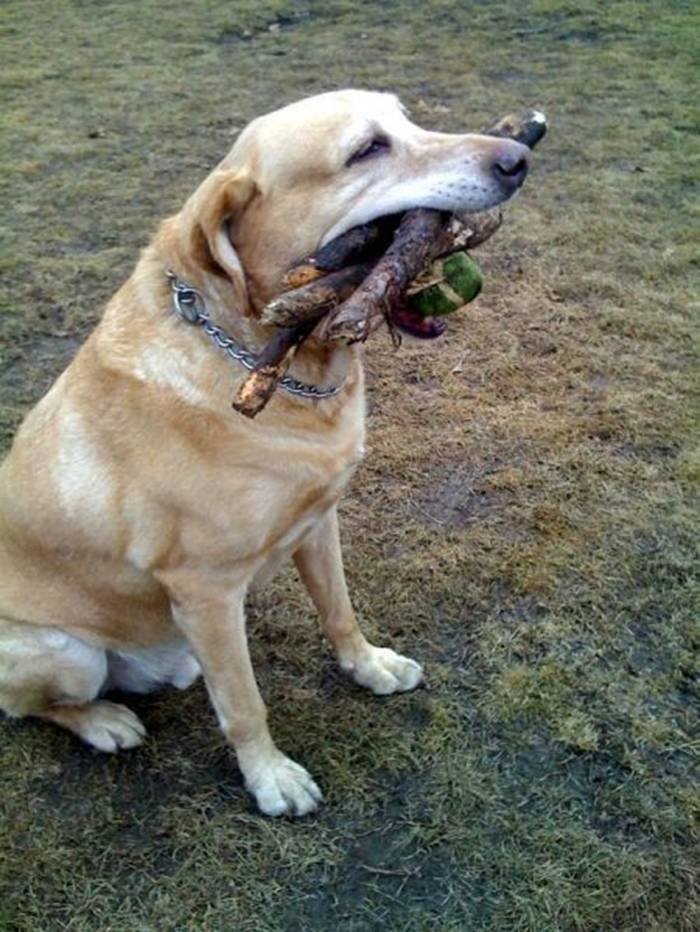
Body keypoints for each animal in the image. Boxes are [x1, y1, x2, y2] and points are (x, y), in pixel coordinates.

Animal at [0, 89, 528, 816]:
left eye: (409, 119)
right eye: (367, 149)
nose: (520, 155)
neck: (283, 369)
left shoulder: (319, 520)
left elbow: (340, 612)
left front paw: (370, 667)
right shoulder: (205, 590)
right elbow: (245, 704)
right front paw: (271, 777)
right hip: (65, 653)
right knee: (38, 707)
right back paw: (104, 722)